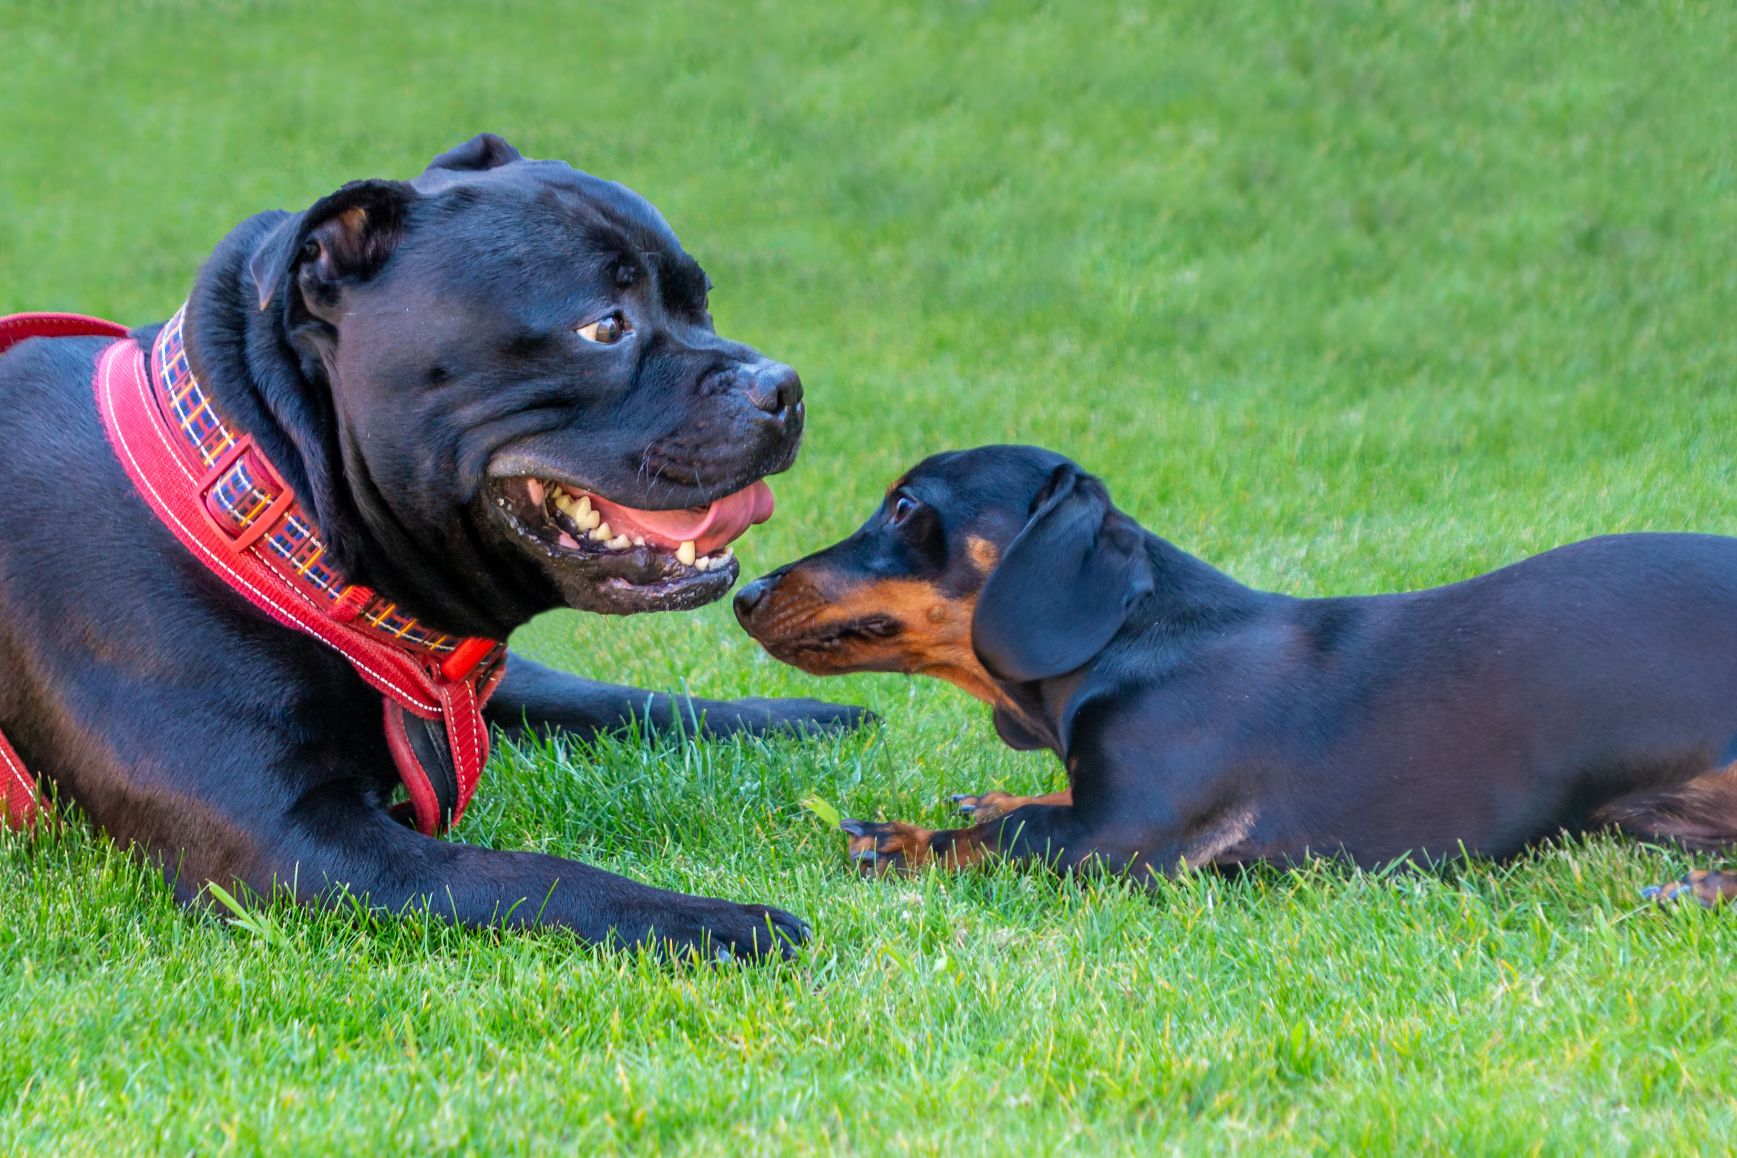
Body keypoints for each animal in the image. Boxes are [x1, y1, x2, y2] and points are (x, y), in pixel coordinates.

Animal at [0, 133, 868, 958]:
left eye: (703, 304)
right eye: (603, 326)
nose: (782, 386)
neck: (264, 505)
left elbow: (611, 698)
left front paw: (798, 715)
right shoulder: (285, 839)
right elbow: (526, 875)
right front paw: (712, 920)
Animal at [736, 447, 1737, 902]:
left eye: (905, 506)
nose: (744, 592)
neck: (1131, 645)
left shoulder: (1121, 836)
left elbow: (1013, 833)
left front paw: (899, 837)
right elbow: (1024, 803)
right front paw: (986, 794)